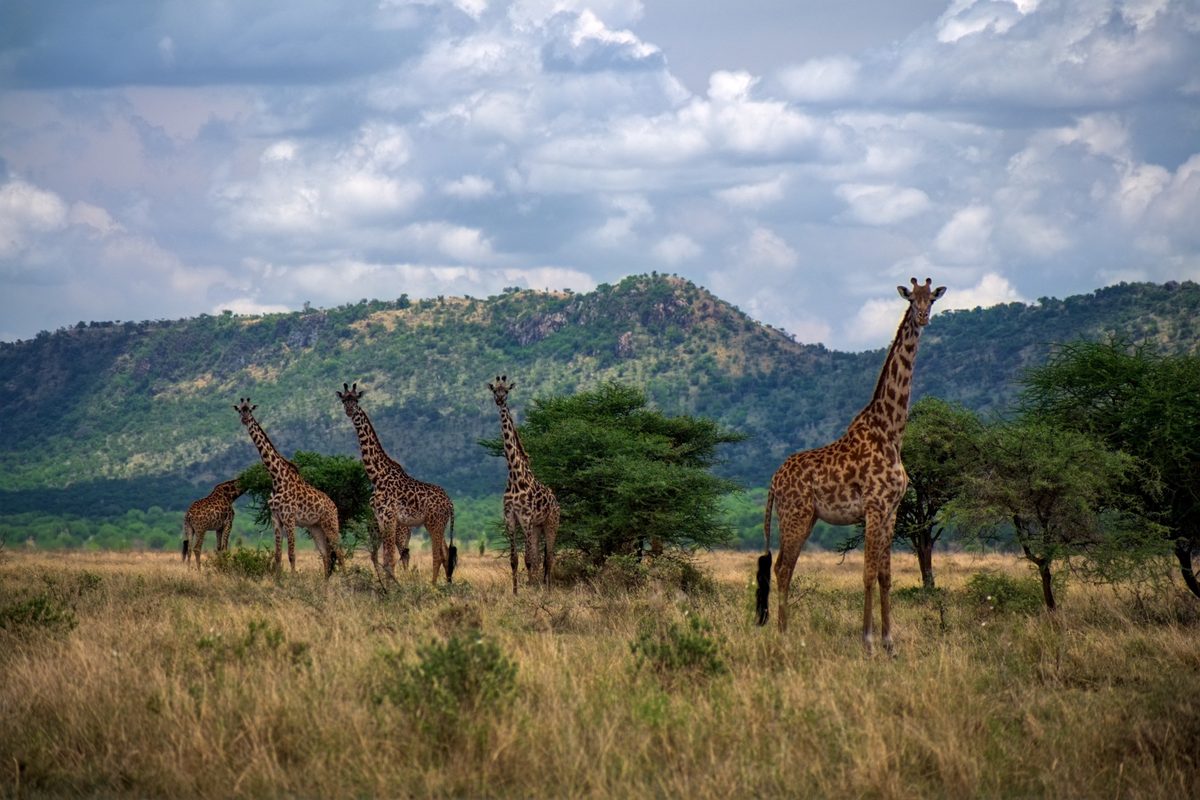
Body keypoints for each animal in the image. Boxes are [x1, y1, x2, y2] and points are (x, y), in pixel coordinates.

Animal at [234, 398, 342, 577]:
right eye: (239, 410)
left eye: (249, 409)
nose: (244, 420)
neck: (277, 478)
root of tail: (334, 506)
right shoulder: (276, 518)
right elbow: (278, 555)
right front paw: (278, 580)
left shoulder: (289, 518)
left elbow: (291, 554)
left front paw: (293, 580)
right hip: (315, 527)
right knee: (326, 554)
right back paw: (325, 582)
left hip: (330, 523)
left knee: (340, 552)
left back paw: (347, 579)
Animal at [336, 382, 457, 585]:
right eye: (344, 400)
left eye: (356, 400)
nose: (349, 411)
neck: (377, 475)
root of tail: (450, 502)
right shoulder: (380, 519)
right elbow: (386, 558)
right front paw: (387, 586)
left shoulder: (390, 517)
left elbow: (390, 559)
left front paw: (392, 587)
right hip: (433, 523)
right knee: (445, 553)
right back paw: (445, 585)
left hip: (435, 522)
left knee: (438, 555)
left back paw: (433, 586)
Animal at [489, 376, 560, 595]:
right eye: (494, 390)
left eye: (506, 391)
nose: (499, 400)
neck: (514, 474)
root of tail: (556, 501)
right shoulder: (510, 517)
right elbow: (515, 560)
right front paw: (516, 592)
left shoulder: (526, 518)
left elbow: (528, 559)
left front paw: (530, 590)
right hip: (537, 527)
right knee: (538, 558)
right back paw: (540, 586)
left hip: (551, 523)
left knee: (548, 557)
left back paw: (547, 588)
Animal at [756, 277, 946, 655]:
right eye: (911, 299)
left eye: (931, 299)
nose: (922, 317)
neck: (892, 432)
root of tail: (773, 480)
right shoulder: (873, 507)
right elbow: (868, 573)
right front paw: (868, 641)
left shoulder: (891, 511)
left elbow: (886, 575)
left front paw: (890, 642)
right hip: (795, 515)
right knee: (782, 567)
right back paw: (783, 635)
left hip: (807, 518)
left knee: (786, 566)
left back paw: (786, 631)